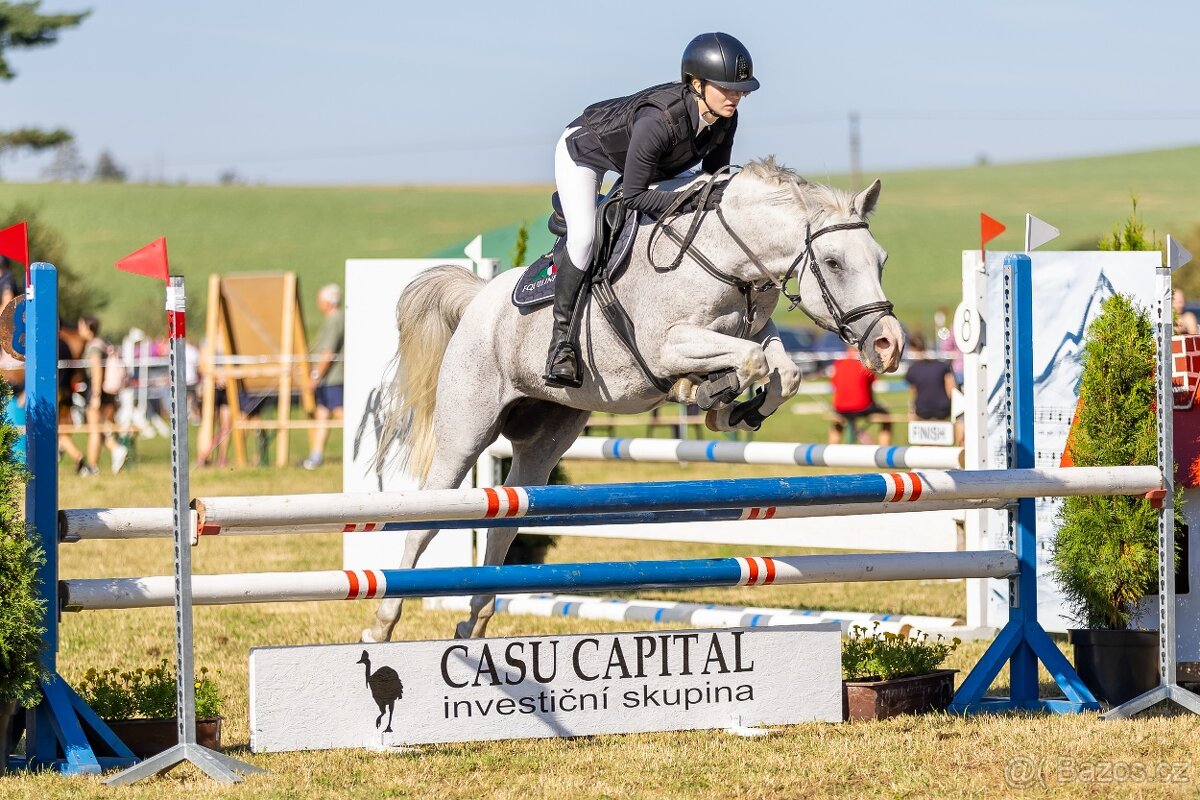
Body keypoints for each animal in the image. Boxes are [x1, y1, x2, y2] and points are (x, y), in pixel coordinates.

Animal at [362, 157, 905, 642]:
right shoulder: (667, 344)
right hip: (467, 430)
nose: (889, 345)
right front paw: (705, 392)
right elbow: (750, 360)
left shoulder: (757, 330)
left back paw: (474, 621)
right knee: (427, 521)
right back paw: (382, 624)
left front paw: (733, 407)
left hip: (545, 439)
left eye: (881, 260)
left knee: (505, 523)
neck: (727, 261)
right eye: (833, 262)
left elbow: (782, 370)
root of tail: (478, 299)